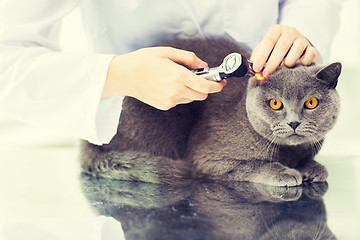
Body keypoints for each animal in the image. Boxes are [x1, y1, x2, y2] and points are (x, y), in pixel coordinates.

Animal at [80, 37, 342, 187]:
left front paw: (312, 168)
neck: (288, 153)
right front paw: (286, 173)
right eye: (276, 104)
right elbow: (251, 165)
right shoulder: (208, 159)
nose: (294, 123)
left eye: (311, 103)